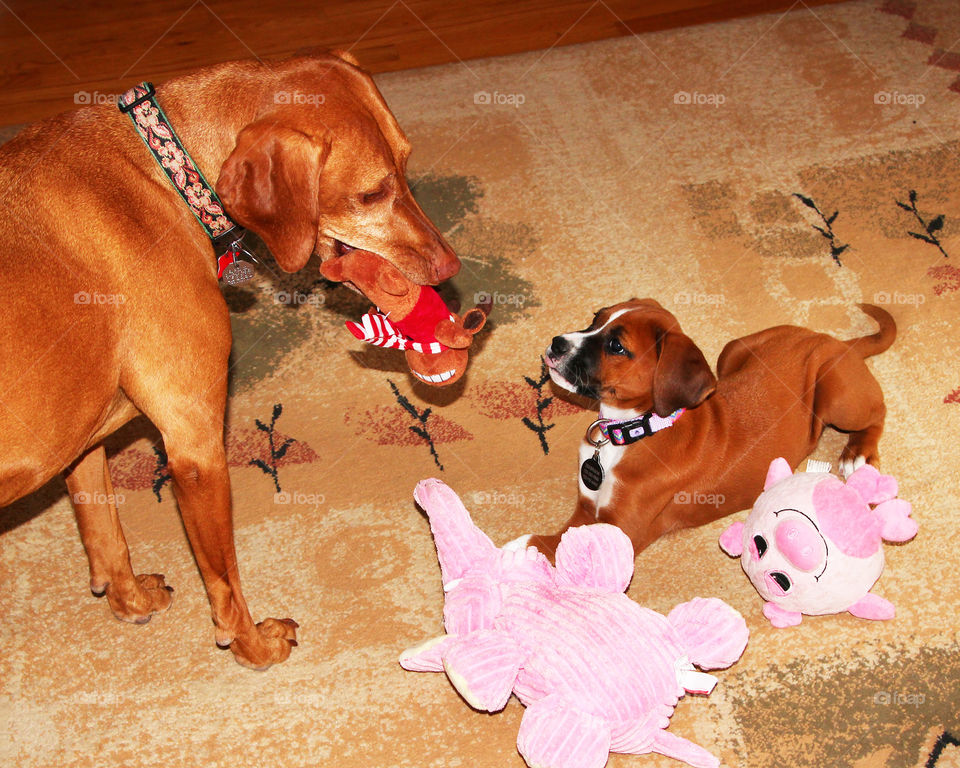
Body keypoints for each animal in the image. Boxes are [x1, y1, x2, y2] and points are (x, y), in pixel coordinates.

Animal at [0, 51, 458, 668]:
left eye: (406, 165)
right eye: (370, 194)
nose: (451, 266)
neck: (164, 170)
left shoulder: (82, 436)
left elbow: (104, 529)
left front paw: (128, 597)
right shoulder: (195, 447)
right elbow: (225, 580)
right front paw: (253, 646)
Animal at [524, 298, 892, 560]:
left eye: (616, 346)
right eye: (596, 318)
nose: (557, 343)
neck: (639, 428)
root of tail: (835, 341)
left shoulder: (620, 529)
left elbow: (544, 544)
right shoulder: (587, 507)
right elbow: (558, 537)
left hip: (838, 396)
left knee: (878, 411)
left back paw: (858, 454)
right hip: (731, 352)